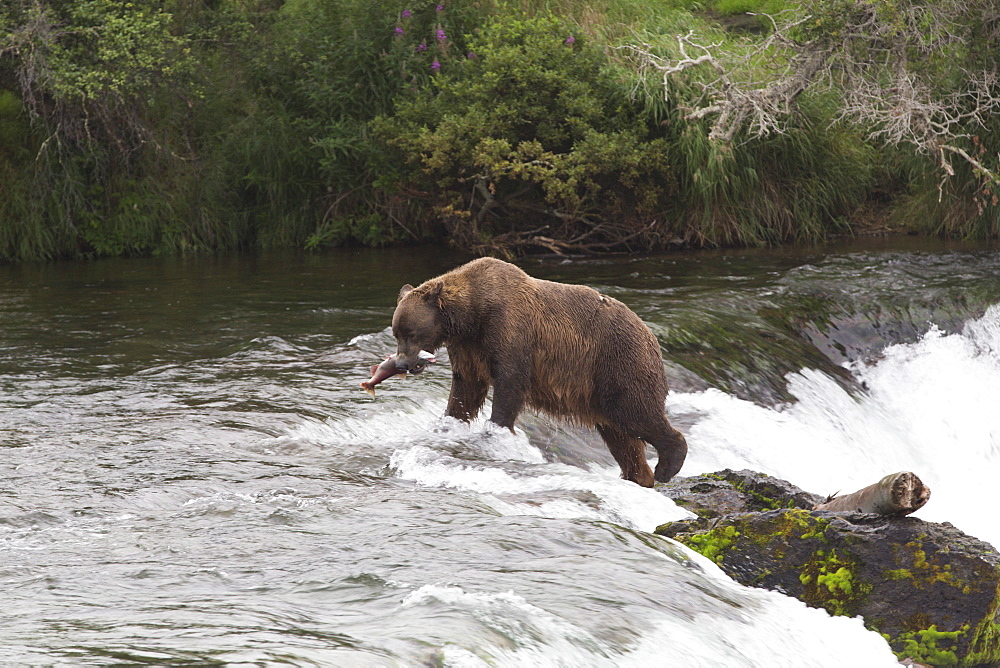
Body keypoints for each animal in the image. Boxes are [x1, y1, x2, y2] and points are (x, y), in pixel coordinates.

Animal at [376, 256, 688, 486]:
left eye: (411, 333)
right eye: (396, 333)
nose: (402, 363)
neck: (471, 316)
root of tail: (651, 336)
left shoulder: (510, 330)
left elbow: (509, 383)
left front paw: (495, 430)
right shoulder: (468, 348)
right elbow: (466, 389)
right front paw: (448, 423)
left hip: (618, 364)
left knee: (635, 412)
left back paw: (667, 465)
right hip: (600, 389)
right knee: (621, 436)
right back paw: (637, 476)